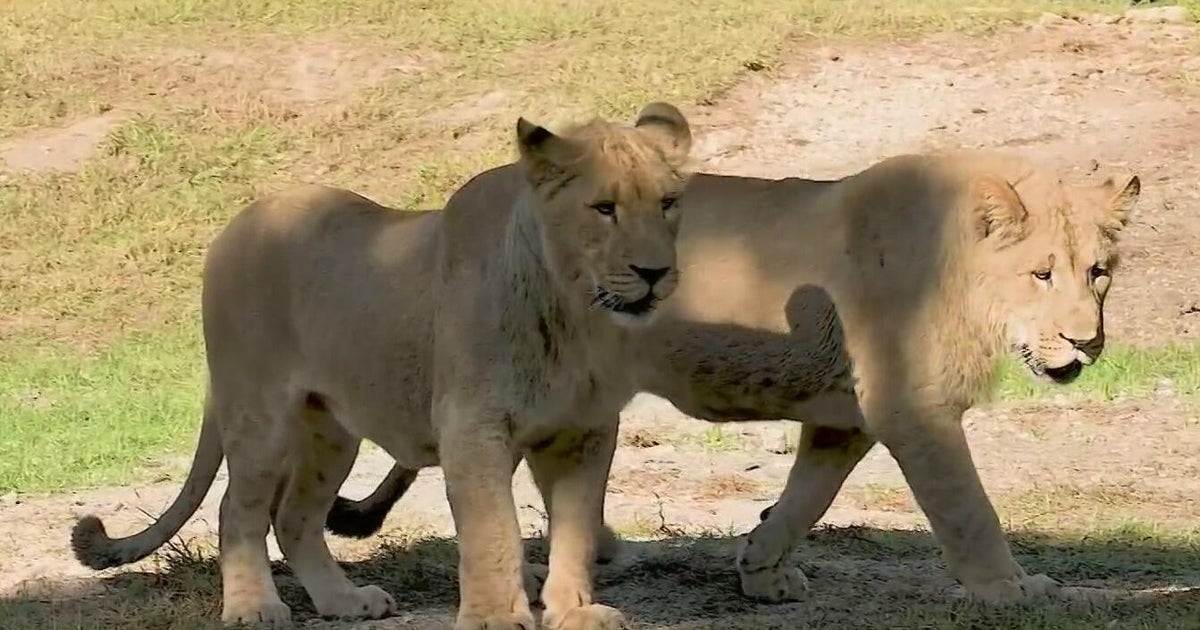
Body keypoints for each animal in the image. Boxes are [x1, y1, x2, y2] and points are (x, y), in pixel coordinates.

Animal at [69, 101, 695, 630]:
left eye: (667, 204)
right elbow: (494, 531)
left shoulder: (585, 432)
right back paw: (253, 607)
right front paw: (495, 615)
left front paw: (576, 611)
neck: (574, 315)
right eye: (604, 209)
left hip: (329, 432)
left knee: (294, 517)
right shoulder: (473, 427)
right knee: (237, 510)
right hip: (258, 413)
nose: (655, 272)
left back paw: (343, 600)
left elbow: (576, 528)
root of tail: (236, 221)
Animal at [324, 150, 1141, 605]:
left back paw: (598, 550)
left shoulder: (845, 419)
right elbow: (969, 509)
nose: (1088, 342)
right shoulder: (910, 405)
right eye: (1041, 274)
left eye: (1100, 272)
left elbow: (807, 499)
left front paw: (760, 568)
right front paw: (1013, 591)